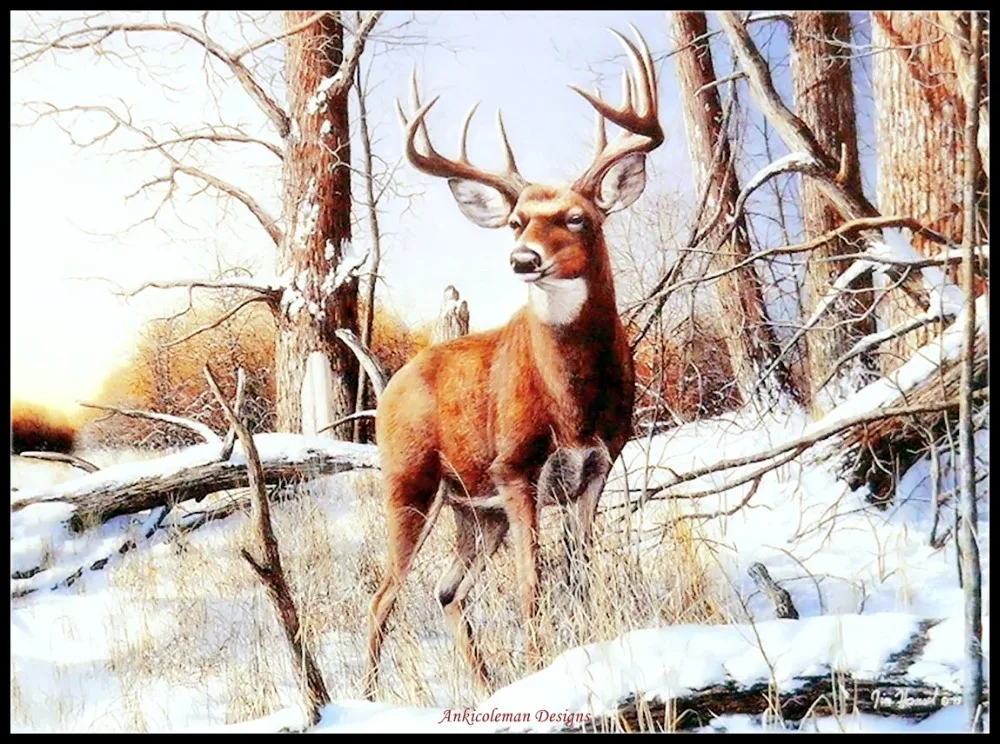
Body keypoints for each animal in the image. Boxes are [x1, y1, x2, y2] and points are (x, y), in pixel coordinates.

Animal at [364, 26, 663, 701]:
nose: (523, 259)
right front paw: (542, 669)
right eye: (517, 222)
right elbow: (534, 585)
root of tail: (392, 382)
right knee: (383, 597)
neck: (572, 404)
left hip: (476, 513)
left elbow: (580, 573)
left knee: (448, 592)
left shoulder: (596, 467)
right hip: (411, 482)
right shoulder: (517, 469)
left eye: (579, 217)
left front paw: (586, 656)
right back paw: (355, 700)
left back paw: (485, 687)